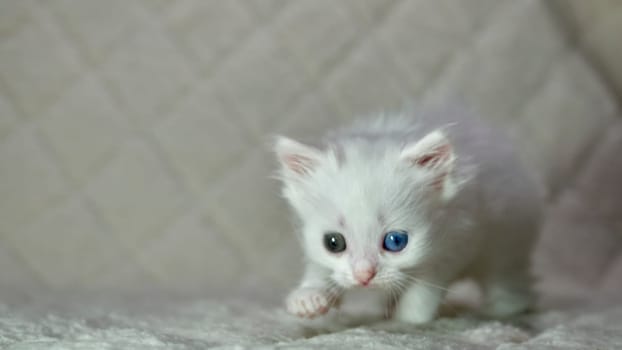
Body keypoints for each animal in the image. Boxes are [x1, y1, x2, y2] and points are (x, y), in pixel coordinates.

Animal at [276, 108, 544, 324]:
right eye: (333, 243)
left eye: (395, 241)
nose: (364, 276)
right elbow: (320, 268)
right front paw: (309, 296)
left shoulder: (458, 239)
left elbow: (424, 287)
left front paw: (410, 318)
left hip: (507, 240)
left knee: (506, 276)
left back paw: (504, 308)